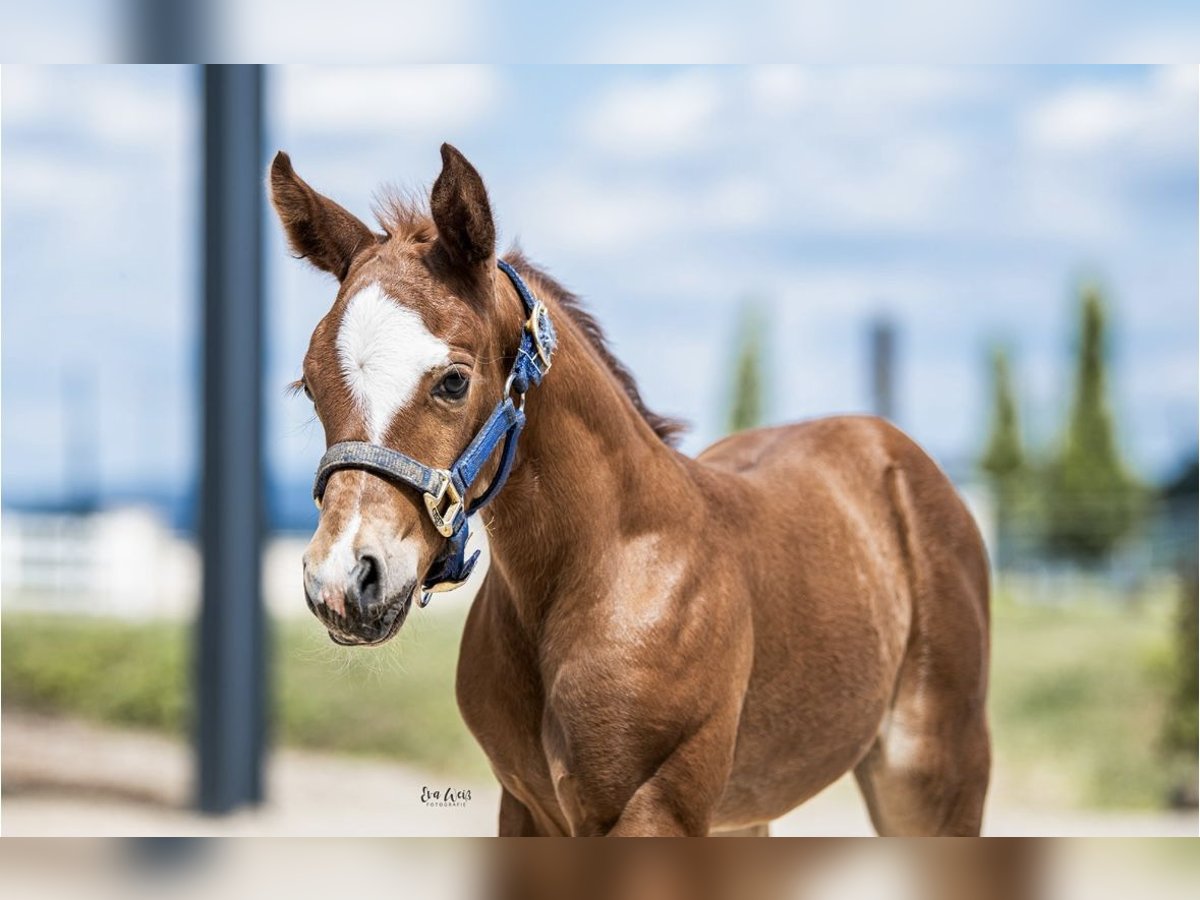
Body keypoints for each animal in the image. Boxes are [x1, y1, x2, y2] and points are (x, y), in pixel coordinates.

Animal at [272, 142, 993, 840]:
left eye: (453, 380)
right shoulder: (525, 807)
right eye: (309, 385)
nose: (343, 581)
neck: (601, 567)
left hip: (934, 779)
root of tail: (889, 446)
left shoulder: (654, 808)